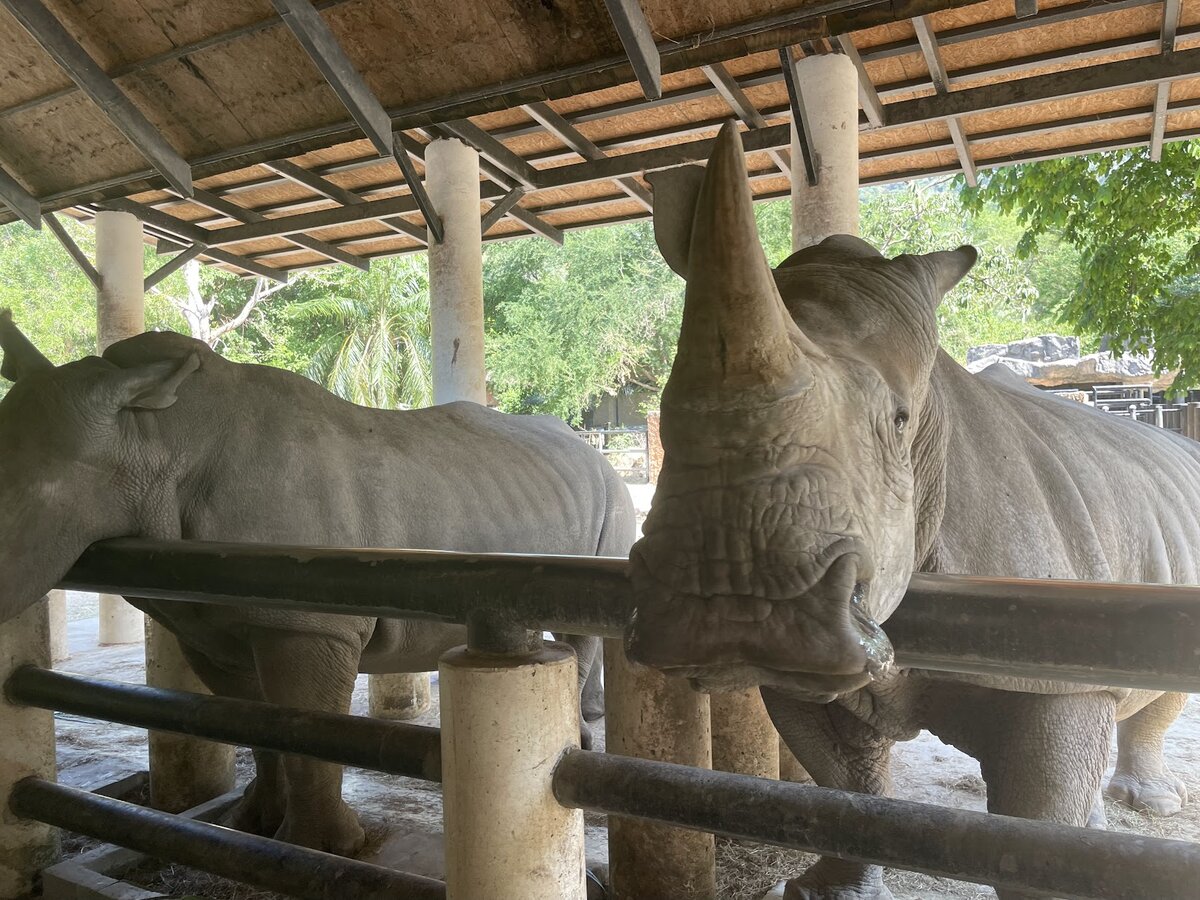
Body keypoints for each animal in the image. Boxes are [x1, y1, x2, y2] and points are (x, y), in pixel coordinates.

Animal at [0, 314, 638, 854]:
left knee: (581, 618)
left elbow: (310, 733)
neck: (159, 437)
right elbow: (257, 728)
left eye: (23, 503)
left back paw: (579, 745)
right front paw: (251, 824)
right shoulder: (210, 623)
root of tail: (586, 448)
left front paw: (328, 847)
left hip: (613, 492)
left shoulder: (307, 623)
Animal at [628, 121, 1190, 900]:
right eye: (667, 419)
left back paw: (1150, 805)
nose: (733, 604)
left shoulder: (1052, 662)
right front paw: (831, 890)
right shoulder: (806, 674)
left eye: (898, 420)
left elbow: (1035, 820)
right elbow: (847, 786)